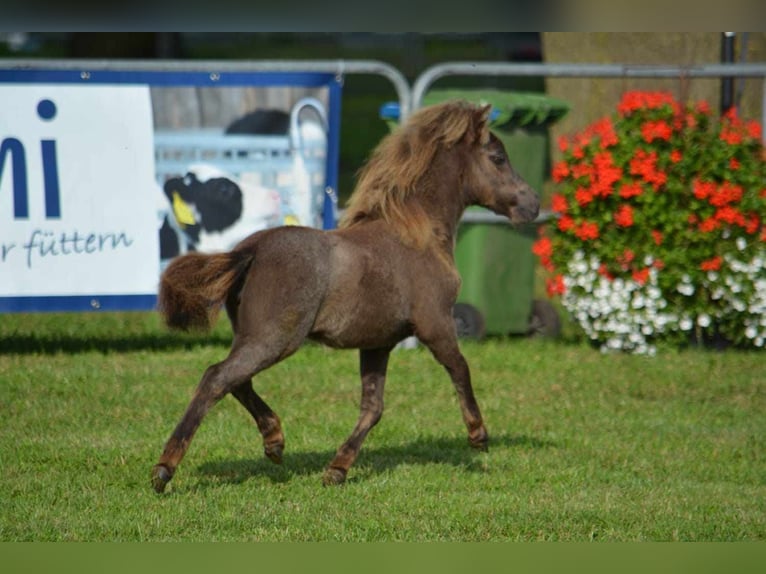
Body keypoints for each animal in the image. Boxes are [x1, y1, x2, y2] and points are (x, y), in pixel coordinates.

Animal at [152, 100, 540, 496]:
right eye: (497, 157)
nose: (532, 204)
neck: (418, 235)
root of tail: (249, 251)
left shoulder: (378, 343)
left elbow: (373, 407)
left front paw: (337, 470)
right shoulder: (435, 323)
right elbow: (460, 368)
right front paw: (478, 436)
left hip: (253, 337)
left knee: (236, 381)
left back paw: (274, 442)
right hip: (275, 339)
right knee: (216, 377)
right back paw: (165, 469)